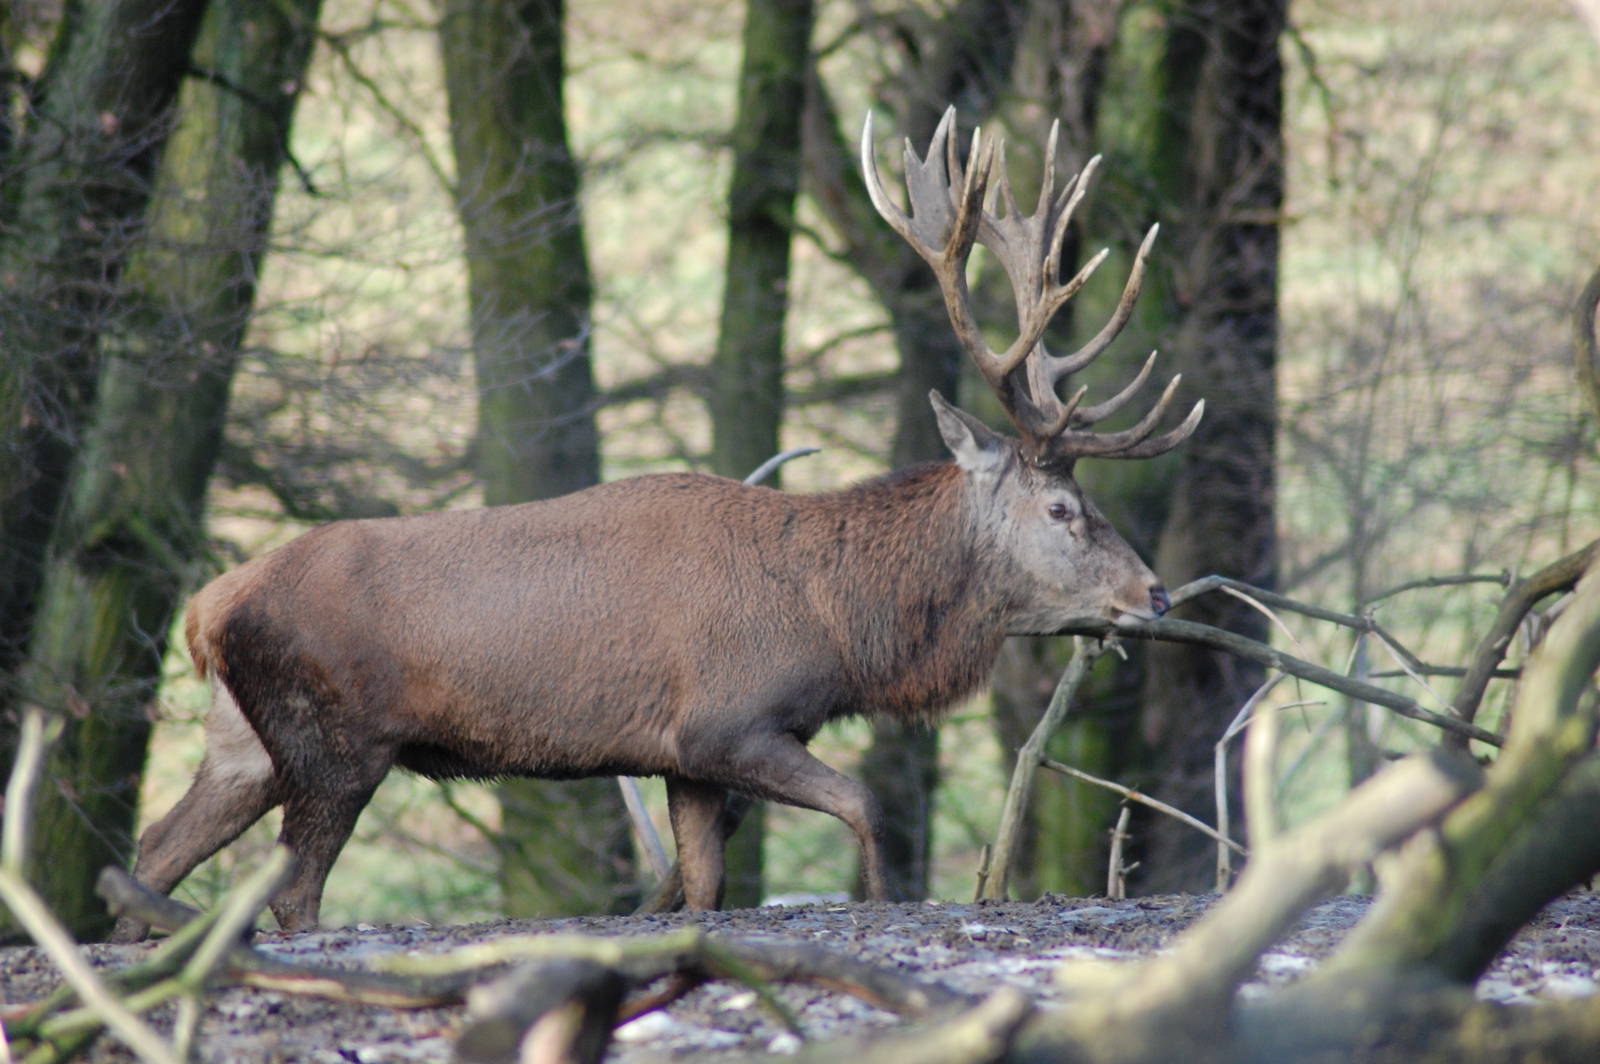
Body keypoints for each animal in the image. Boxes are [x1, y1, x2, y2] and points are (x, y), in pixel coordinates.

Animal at [115, 107, 1201, 939]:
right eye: (1064, 507)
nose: (1155, 592)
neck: (840, 623)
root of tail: (206, 610)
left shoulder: (683, 761)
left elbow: (705, 884)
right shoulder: (728, 720)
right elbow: (860, 803)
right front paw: (879, 904)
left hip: (243, 741)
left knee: (151, 856)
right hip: (334, 739)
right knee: (292, 892)